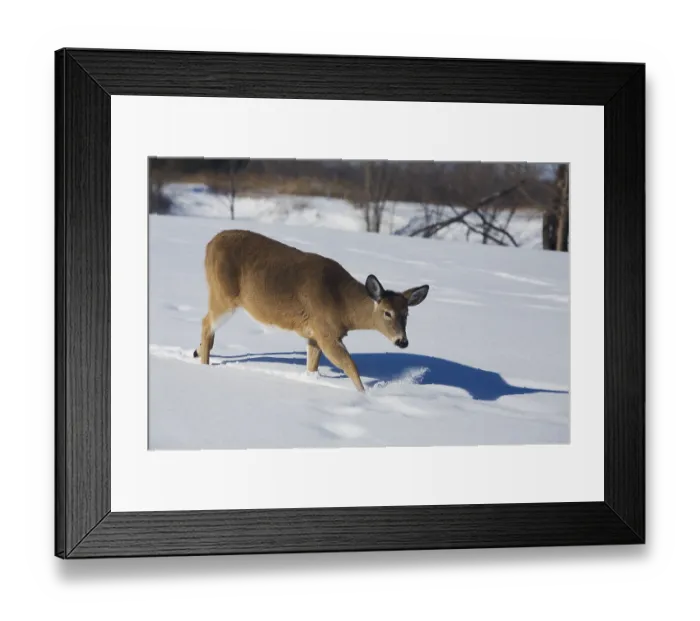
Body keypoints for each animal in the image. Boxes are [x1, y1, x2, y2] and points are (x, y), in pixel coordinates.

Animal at [193, 229, 430, 393]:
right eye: (387, 312)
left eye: (406, 314)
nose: (402, 341)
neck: (342, 305)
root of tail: (209, 244)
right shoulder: (326, 331)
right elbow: (350, 365)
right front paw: (365, 396)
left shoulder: (314, 333)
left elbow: (312, 366)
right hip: (224, 295)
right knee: (206, 323)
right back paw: (205, 365)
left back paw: (197, 353)